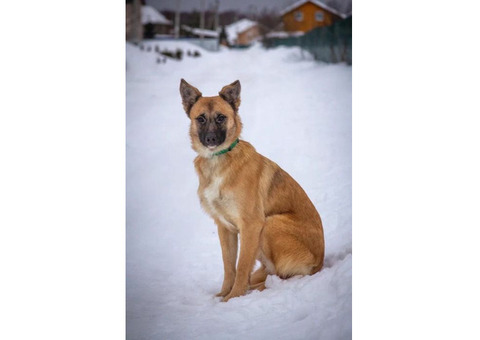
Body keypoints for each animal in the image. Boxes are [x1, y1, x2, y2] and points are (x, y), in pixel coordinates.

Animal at [180, 78, 326, 302]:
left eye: (221, 117)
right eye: (201, 119)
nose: (211, 139)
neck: (219, 160)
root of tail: (320, 263)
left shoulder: (251, 224)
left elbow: (241, 266)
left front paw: (234, 297)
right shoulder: (225, 228)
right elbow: (229, 266)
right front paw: (224, 294)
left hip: (271, 223)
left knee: (280, 275)